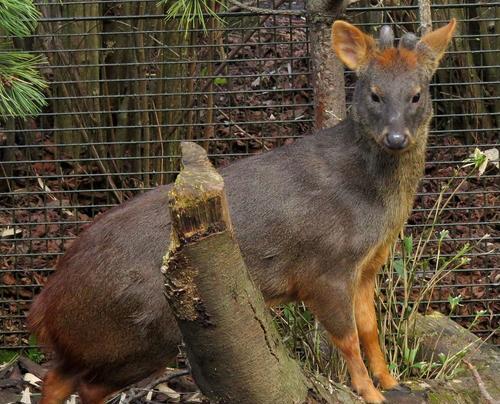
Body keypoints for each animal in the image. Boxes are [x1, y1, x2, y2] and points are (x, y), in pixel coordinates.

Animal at [28, 19, 458, 404]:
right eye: (374, 94)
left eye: (417, 94)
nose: (397, 138)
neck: (373, 205)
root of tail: (44, 308)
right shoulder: (325, 267)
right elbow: (348, 338)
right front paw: (371, 393)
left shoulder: (367, 267)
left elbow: (370, 330)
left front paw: (393, 382)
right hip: (141, 334)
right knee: (82, 386)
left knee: (55, 379)